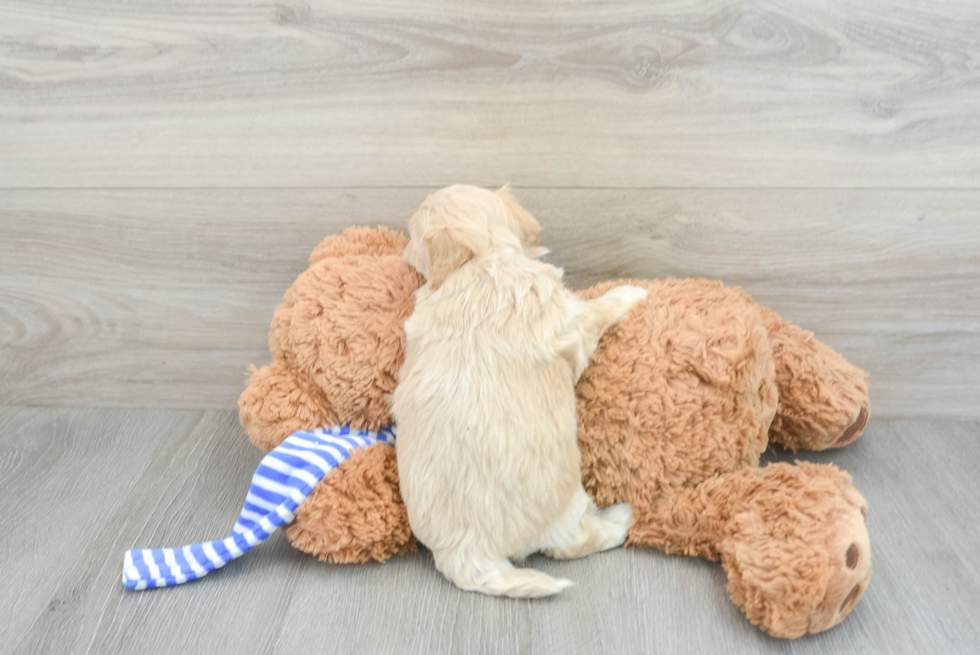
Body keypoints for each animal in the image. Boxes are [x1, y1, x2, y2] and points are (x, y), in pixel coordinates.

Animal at [394, 184, 648, 600]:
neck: (480, 262)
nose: (401, 249)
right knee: (573, 542)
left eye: (412, 237)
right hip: (564, 510)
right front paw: (631, 292)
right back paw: (620, 519)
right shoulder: (571, 319)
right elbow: (598, 309)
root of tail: (464, 552)